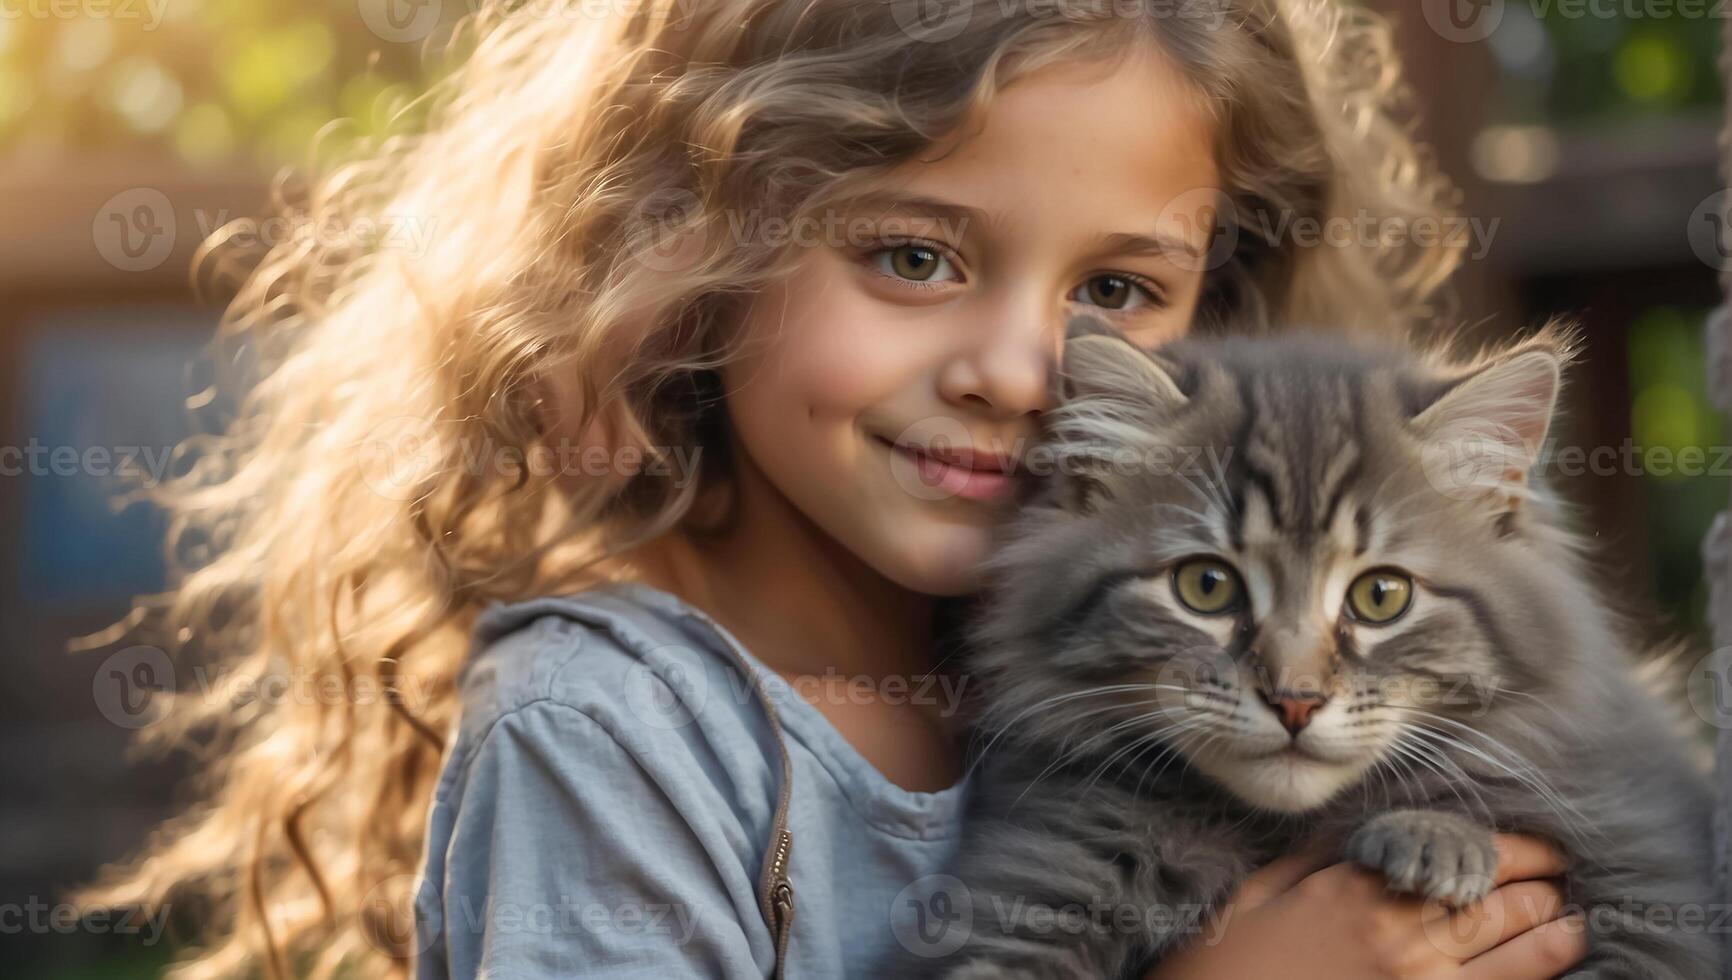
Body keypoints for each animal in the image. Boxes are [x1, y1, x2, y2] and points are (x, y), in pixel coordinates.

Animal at [921, 318, 1718, 976]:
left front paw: (1434, 836)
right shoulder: (1034, 890)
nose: (1295, 701)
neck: (1284, 825)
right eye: (1206, 586)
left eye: (1381, 596)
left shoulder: (1646, 872)